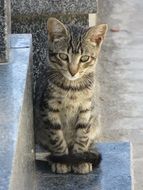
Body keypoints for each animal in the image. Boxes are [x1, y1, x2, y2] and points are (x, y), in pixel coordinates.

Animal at [35, 17, 107, 174]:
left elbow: (82, 135)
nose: (73, 72)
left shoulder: (87, 109)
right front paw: (61, 160)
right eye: (63, 56)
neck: (72, 87)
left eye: (84, 58)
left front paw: (80, 160)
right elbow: (56, 136)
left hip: (96, 124)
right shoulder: (49, 108)